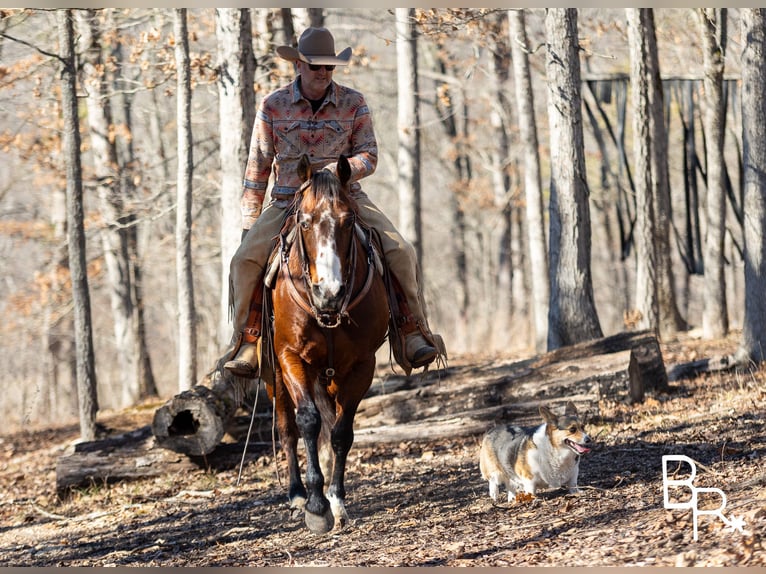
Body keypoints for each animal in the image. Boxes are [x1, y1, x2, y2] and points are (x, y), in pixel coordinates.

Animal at [268, 154, 392, 536]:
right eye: (304, 221)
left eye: (348, 220)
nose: (330, 292)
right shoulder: (290, 357)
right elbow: (307, 422)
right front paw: (316, 506)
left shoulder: (362, 365)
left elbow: (340, 433)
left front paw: (336, 500)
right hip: (273, 375)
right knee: (287, 428)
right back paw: (296, 494)